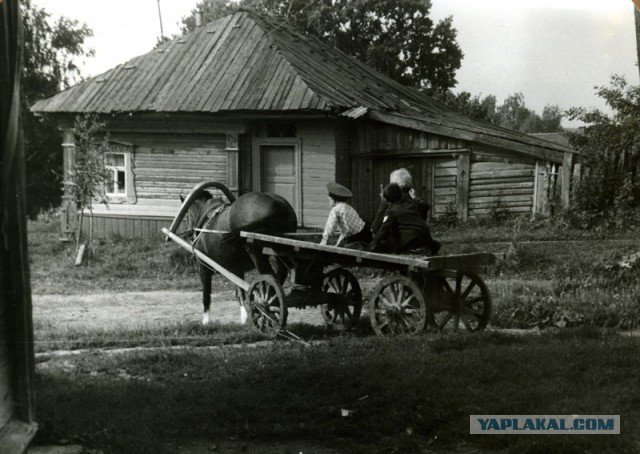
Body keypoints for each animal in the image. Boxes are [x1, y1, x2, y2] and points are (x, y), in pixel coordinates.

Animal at [170, 181, 300, 326]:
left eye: (187, 215)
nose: (188, 234)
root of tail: (277, 204)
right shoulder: (237, 268)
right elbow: (240, 292)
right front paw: (244, 317)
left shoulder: (203, 267)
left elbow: (206, 295)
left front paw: (206, 321)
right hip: (281, 249)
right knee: (282, 271)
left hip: (257, 254)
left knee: (270, 278)